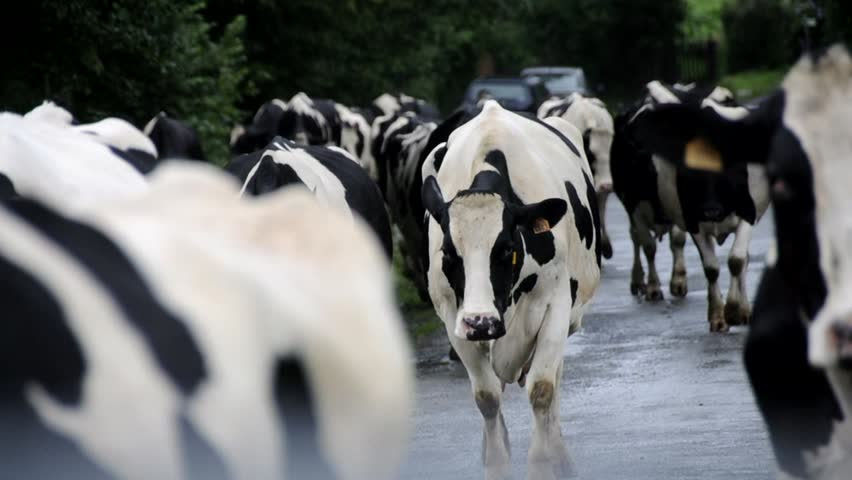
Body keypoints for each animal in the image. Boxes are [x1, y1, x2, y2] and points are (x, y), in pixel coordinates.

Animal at [421, 100, 601, 479]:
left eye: (505, 249)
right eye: (448, 253)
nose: (481, 322)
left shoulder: (556, 303)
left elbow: (542, 389)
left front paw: (543, 463)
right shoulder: (453, 317)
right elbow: (487, 396)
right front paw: (496, 461)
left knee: (553, 380)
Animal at [632, 45, 852, 479]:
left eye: (735, 173)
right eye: (783, 179)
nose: (714, 208)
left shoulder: (748, 215)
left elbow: (736, 259)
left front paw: (736, 310)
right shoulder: (693, 219)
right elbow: (712, 267)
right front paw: (720, 315)